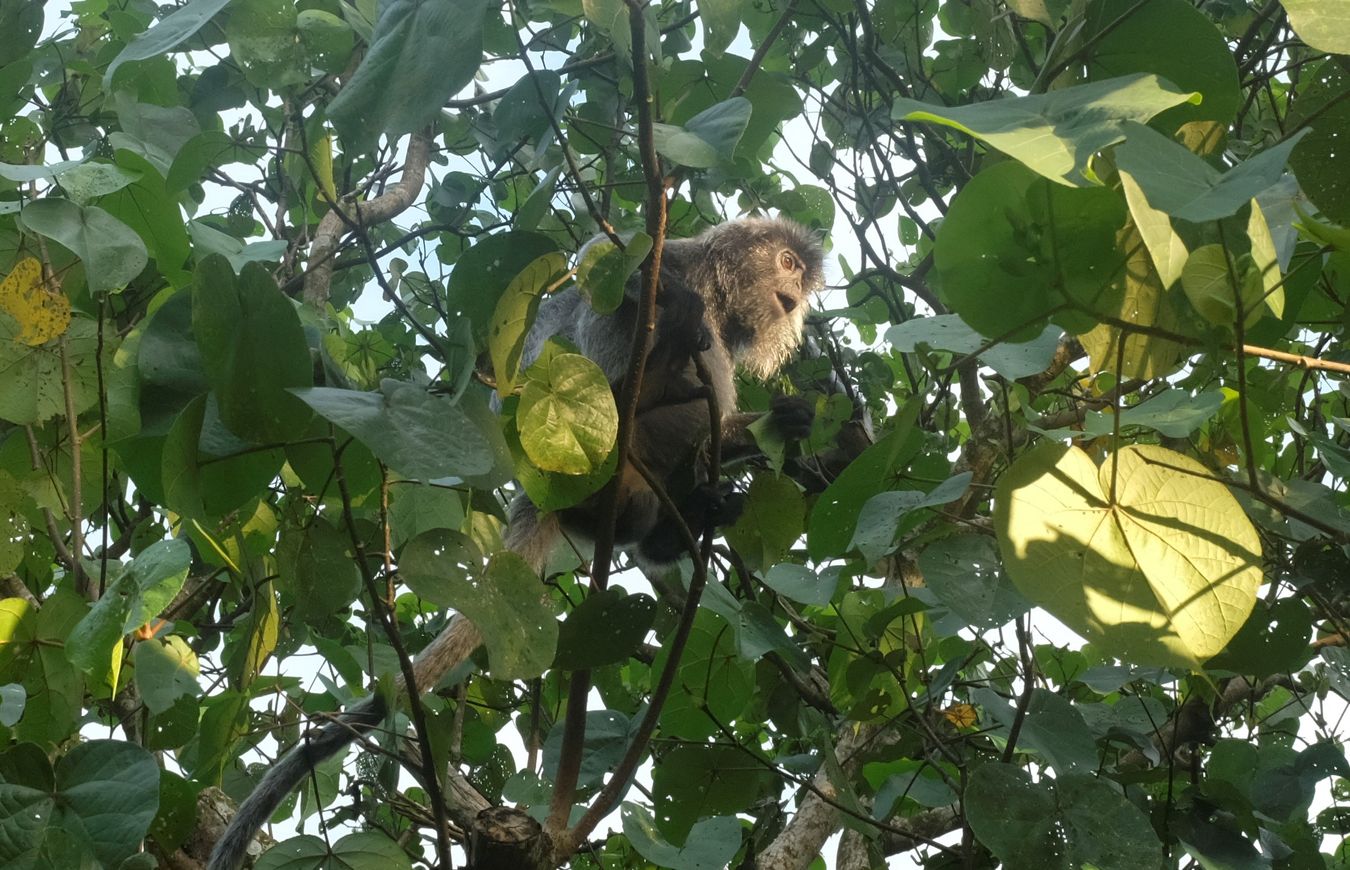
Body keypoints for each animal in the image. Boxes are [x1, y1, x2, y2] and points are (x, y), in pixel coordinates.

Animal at [209, 213, 820, 864]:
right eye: (786, 263)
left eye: (800, 278)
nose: (795, 294)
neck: (721, 300)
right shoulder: (673, 260)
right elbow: (604, 261)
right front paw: (676, 307)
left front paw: (789, 423)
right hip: (597, 424)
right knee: (634, 353)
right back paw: (658, 368)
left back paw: (681, 523)